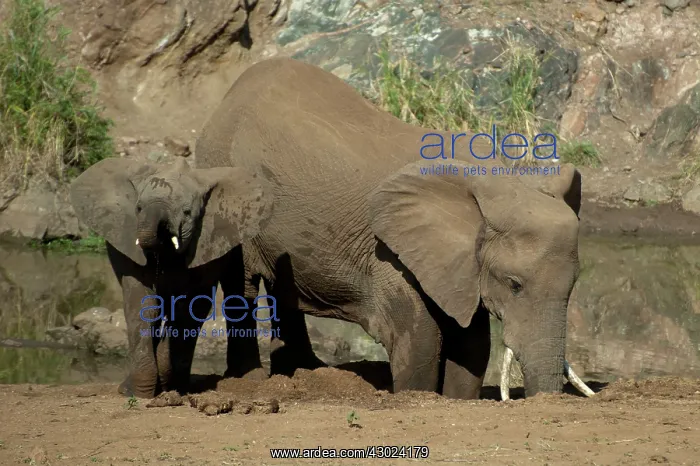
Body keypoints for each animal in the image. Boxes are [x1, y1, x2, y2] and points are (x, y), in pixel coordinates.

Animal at [69, 156, 274, 398]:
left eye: (187, 212)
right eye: (138, 208)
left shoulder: (208, 242)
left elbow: (192, 305)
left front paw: (168, 385)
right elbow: (142, 301)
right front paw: (138, 392)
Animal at [193, 57, 595, 399]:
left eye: (574, 285)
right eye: (514, 285)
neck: (497, 183)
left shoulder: (461, 265)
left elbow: (472, 343)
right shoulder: (388, 252)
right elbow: (421, 339)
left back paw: (304, 372)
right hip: (223, 176)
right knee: (240, 283)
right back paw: (250, 380)